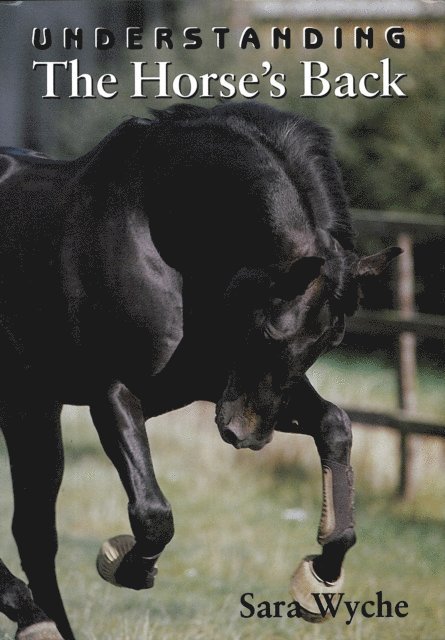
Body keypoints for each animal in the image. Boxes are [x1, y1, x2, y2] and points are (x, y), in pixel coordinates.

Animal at [0, 102, 400, 640]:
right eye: (272, 328)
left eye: (330, 340)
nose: (245, 436)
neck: (156, 230)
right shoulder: (113, 391)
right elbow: (153, 514)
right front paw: (128, 565)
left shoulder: (219, 387)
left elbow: (335, 423)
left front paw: (320, 574)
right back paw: (31, 615)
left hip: (32, 408)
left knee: (35, 534)